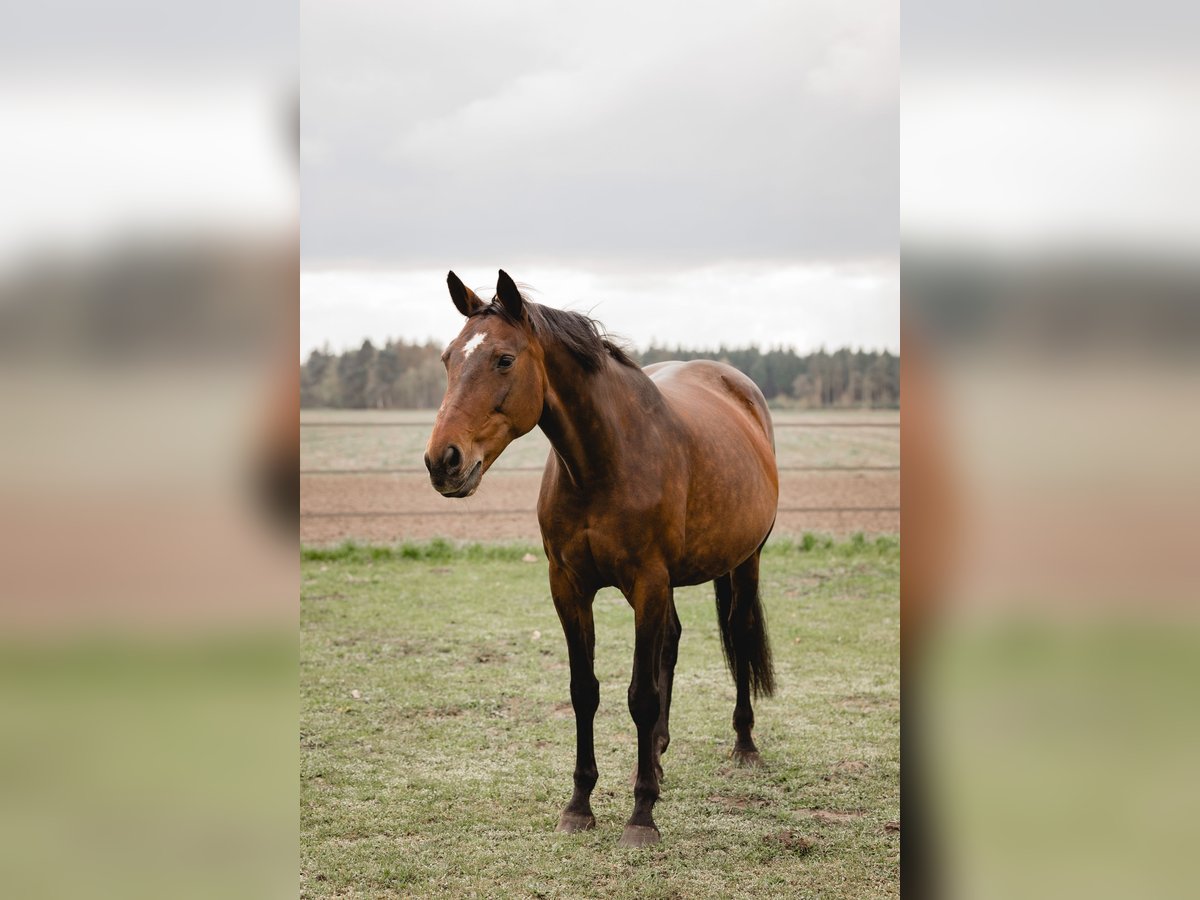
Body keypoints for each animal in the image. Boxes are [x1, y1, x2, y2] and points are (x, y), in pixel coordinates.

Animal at [422, 271, 777, 849]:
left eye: (504, 359)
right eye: (449, 358)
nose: (442, 461)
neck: (604, 461)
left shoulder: (648, 582)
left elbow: (640, 696)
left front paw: (641, 816)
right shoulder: (569, 586)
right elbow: (584, 691)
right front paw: (579, 805)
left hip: (745, 562)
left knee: (740, 632)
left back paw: (743, 745)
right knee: (672, 643)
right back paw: (656, 755)